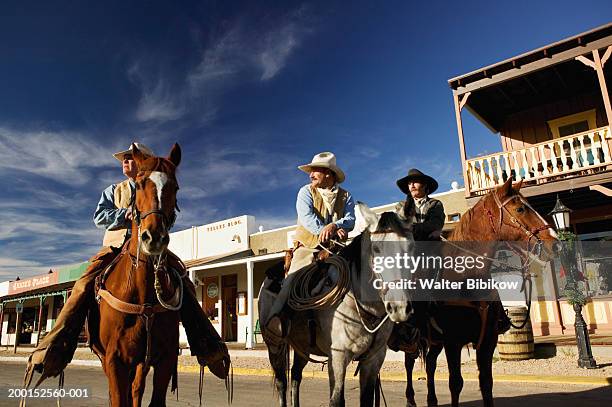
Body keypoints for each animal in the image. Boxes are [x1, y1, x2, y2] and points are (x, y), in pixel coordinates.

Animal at [88, 145, 183, 406]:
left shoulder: (164, 359)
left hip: (141, 362)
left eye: (175, 187)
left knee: (136, 389)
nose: (154, 237)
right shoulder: (114, 359)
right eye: (139, 185)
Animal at [406, 179, 560, 407]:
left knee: (431, 363)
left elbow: (486, 383)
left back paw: (432, 400)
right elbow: (455, 383)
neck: (466, 279)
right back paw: (410, 399)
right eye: (520, 208)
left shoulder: (487, 342)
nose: (555, 243)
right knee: (409, 363)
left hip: (435, 340)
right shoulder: (453, 342)